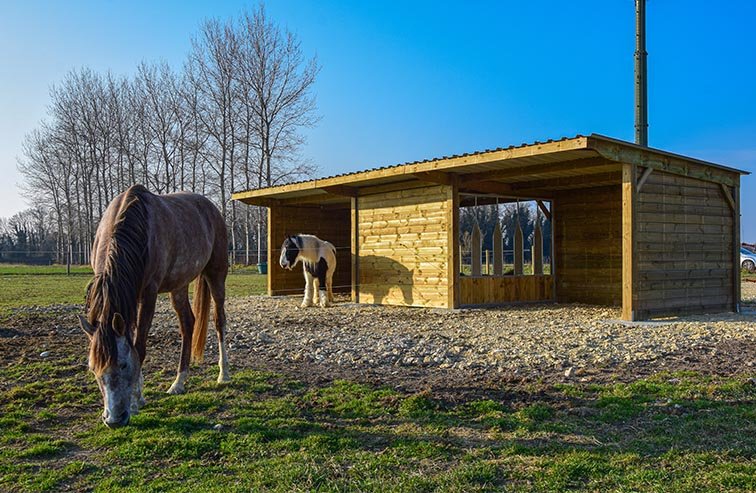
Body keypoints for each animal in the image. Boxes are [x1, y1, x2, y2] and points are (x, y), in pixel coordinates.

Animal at [78, 184, 230, 428]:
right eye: (93, 368)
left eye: (123, 365)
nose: (113, 420)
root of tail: (211, 208)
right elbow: (133, 341)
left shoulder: (148, 294)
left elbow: (139, 347)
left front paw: (135, 401)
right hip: (179, 284)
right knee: (188, 324)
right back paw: (179, 382)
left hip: (216, 274)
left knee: (219, 321)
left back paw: (223, 374)